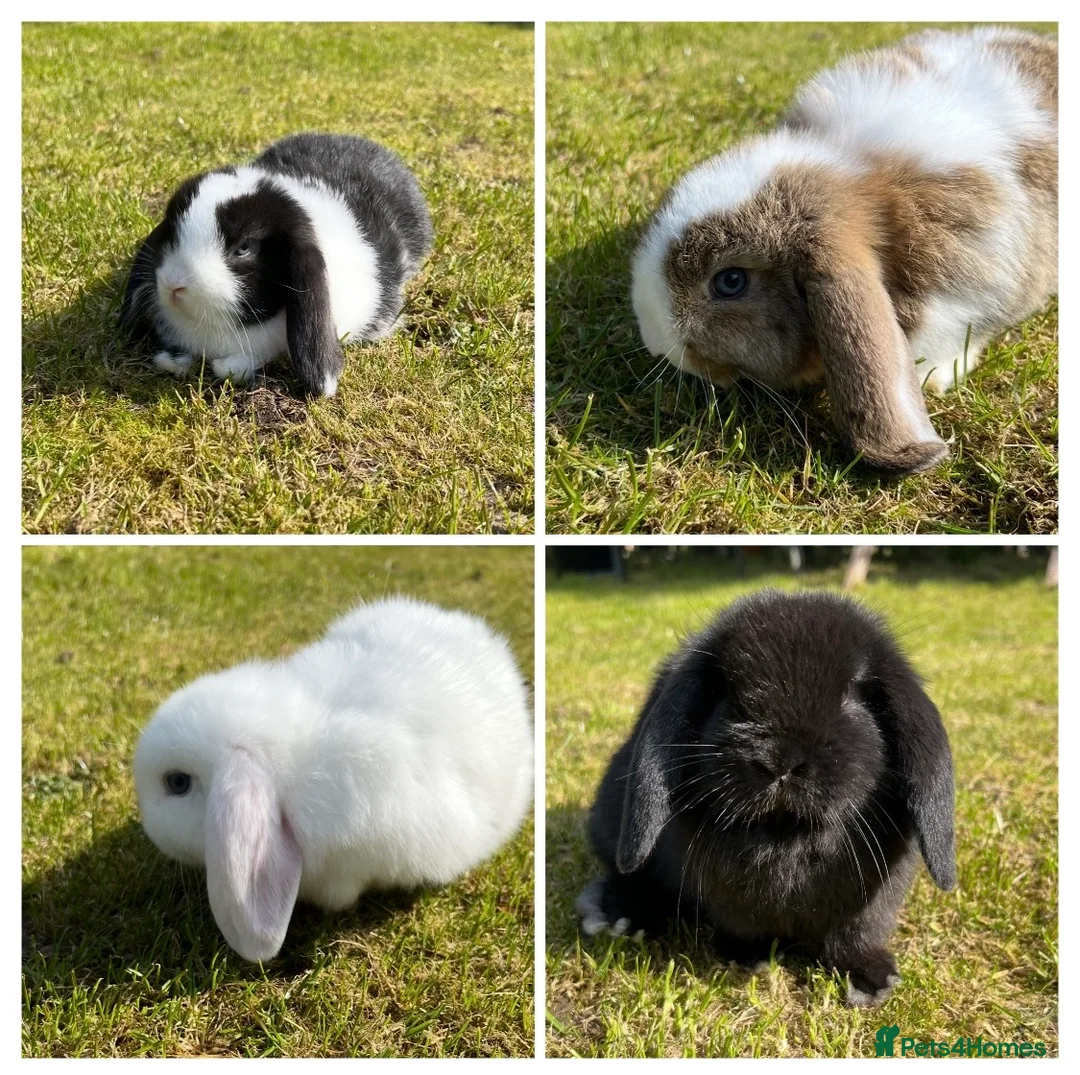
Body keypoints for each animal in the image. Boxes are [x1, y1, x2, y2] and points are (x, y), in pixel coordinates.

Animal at [576, 589, 955, 1007]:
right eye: (728, 691)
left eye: (852, 693)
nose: (779, 761)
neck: (785, 836)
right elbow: (741, 926)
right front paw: (750, 958)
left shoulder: (869, 906)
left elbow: (853, 937)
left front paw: (873, 982)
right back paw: (616, 917)